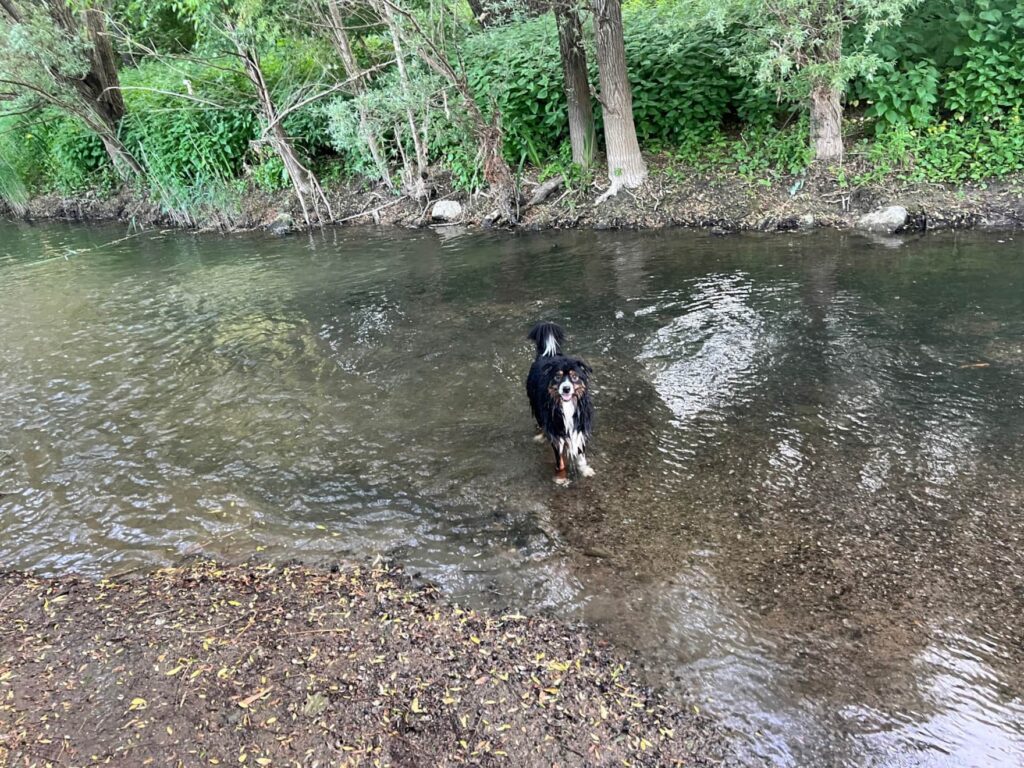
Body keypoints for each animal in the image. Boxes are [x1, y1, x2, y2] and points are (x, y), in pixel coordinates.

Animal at [524, 323, 598, 481]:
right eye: (558, 377)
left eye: (574, 376)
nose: (566, 389)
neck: (567, 406)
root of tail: (547, 354)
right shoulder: (557, 431)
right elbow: (560, 461)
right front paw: (561, 478)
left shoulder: (579, 426)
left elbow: (581, 454)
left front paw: (585, 470)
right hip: (536, 406)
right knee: (541, 423)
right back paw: (541, 436)